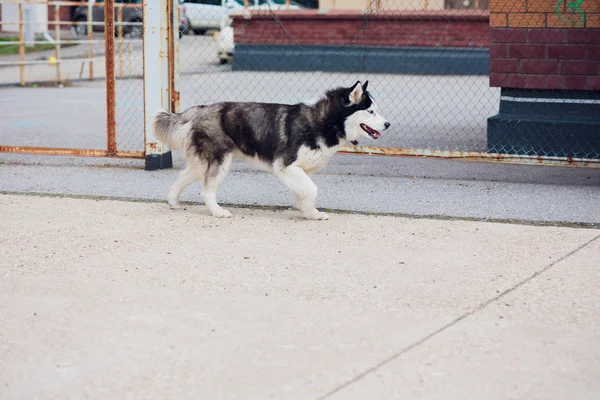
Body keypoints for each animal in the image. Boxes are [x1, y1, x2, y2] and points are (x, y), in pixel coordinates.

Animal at [152, 80, 392, 220]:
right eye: (371, 111)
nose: (388, 124)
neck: (324, 122)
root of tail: (200, 109)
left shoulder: (300, 170)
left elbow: (304, 193)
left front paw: (309, 213)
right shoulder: (286, 166)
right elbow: (312, 190)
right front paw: (309, 211)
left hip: (203, 163)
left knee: (182, 176)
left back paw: (173, 201)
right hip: (221, 161)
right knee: (207, 190)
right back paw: (218, 212)